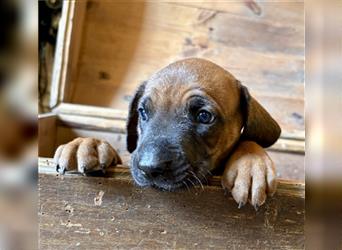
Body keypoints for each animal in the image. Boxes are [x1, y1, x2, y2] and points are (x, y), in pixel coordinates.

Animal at [54, 57, 280, 208]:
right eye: (143, 112)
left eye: (204, 116)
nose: (149, 168)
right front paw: (87, 144)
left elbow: (248, 140)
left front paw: (251, 165)